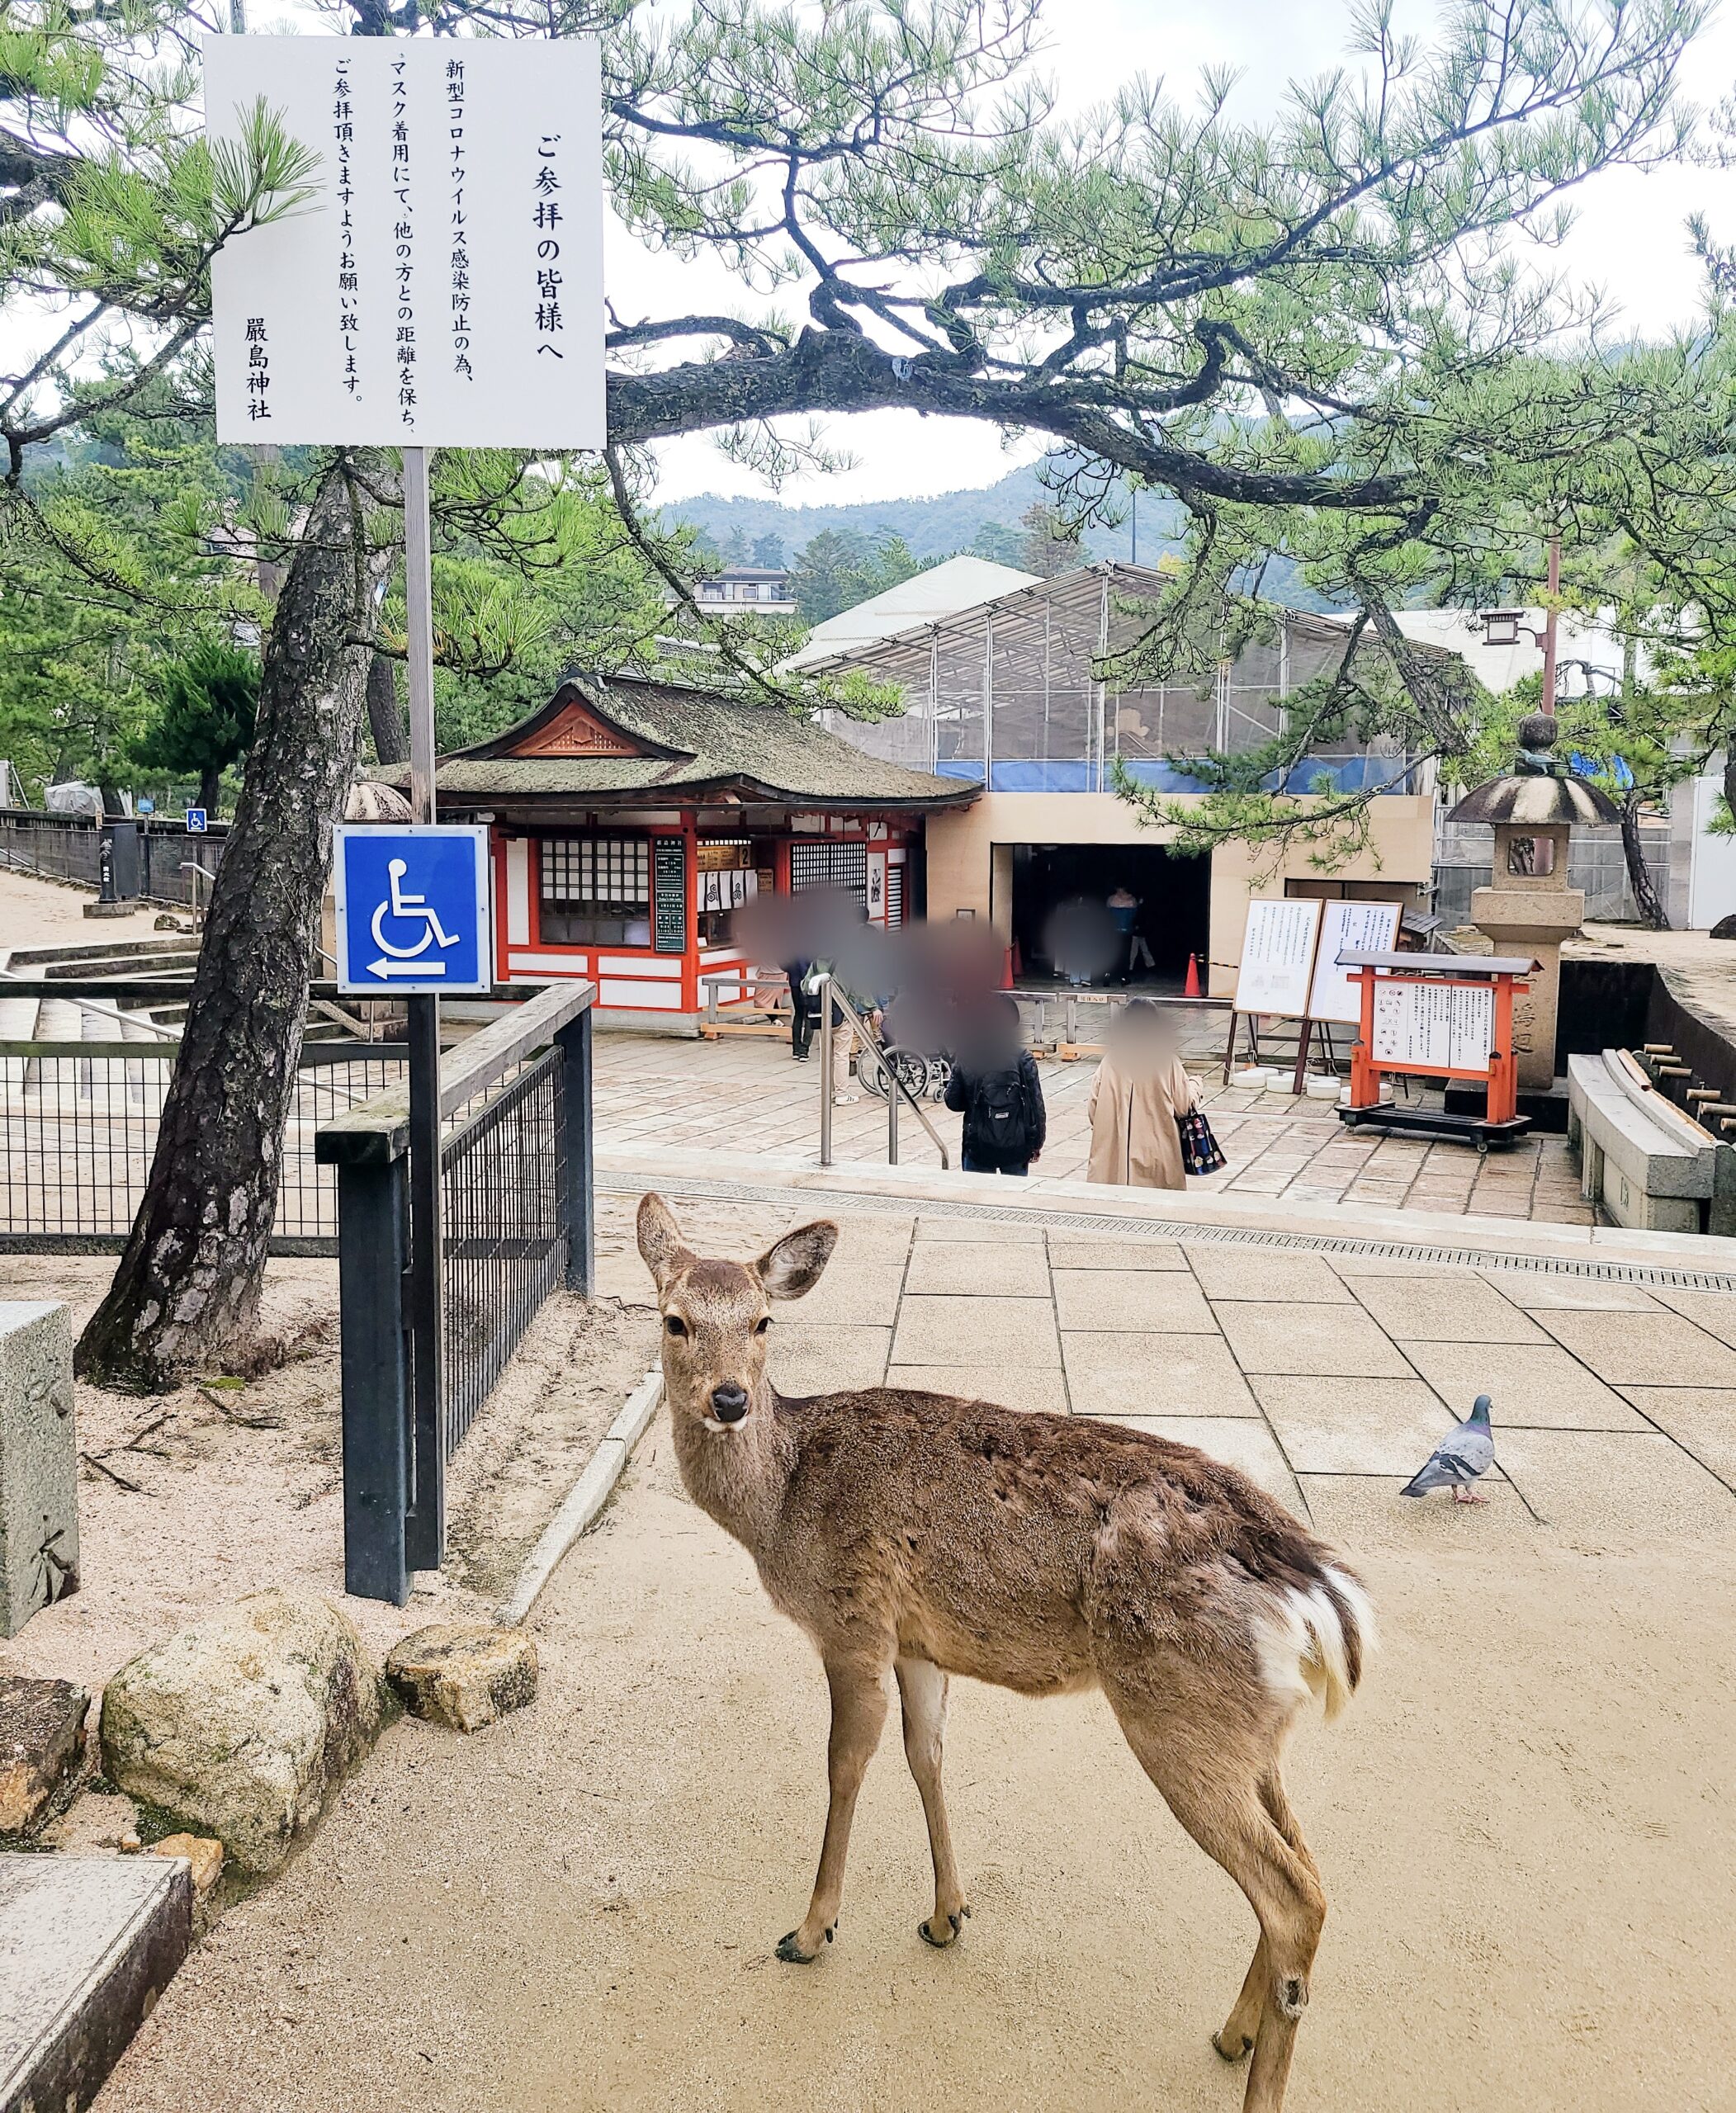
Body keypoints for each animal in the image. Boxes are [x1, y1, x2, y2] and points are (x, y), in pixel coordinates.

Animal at [630, 1191, 1379, 2113]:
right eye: (674, 1319)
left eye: (763, 1319)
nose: (730, 1397)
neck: (780, 1504)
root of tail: (1316, 1589)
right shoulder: (916, 1640)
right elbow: (925, 1754)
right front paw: (946, 1915)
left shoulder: (852, 1619)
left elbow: (846, 1763)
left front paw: (809, 1929)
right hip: (1253, 1729)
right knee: (1307, 1874)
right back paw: (1232, 2032)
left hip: (1177, 1712)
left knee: (1289, 1895)